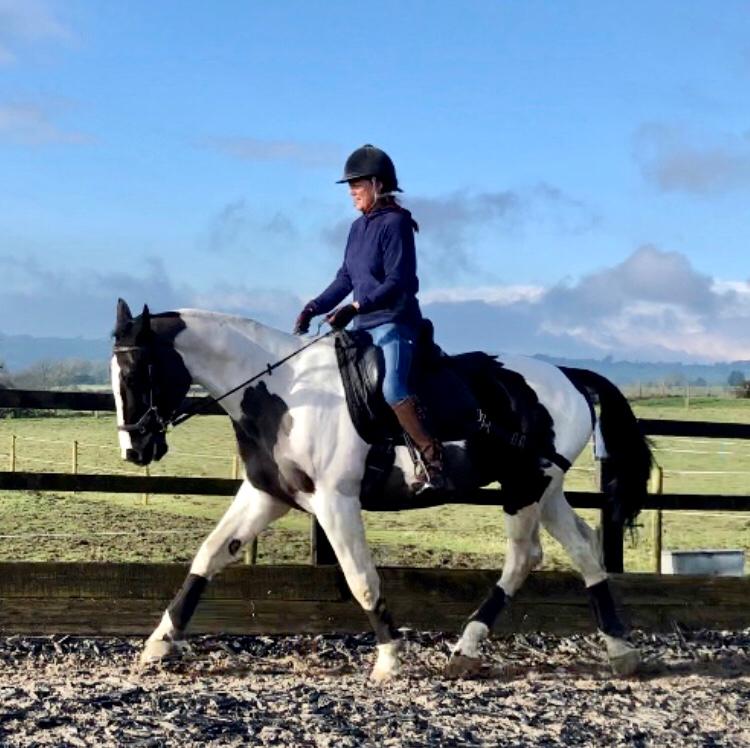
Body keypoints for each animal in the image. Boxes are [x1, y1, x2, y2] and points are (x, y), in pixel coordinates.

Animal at [110, 299, 652, 680]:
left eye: (137, 373)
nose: (135, 449)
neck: (282, 394)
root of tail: (567, 375)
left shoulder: (335, 501)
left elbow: (361, 578)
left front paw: (390, 658)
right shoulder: (266, 496)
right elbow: (209, 554)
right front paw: (158, 643)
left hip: (524, 486)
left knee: (524, 557)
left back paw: (466, 648)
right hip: (545, 487)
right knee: (582, 548)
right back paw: (619, 650)